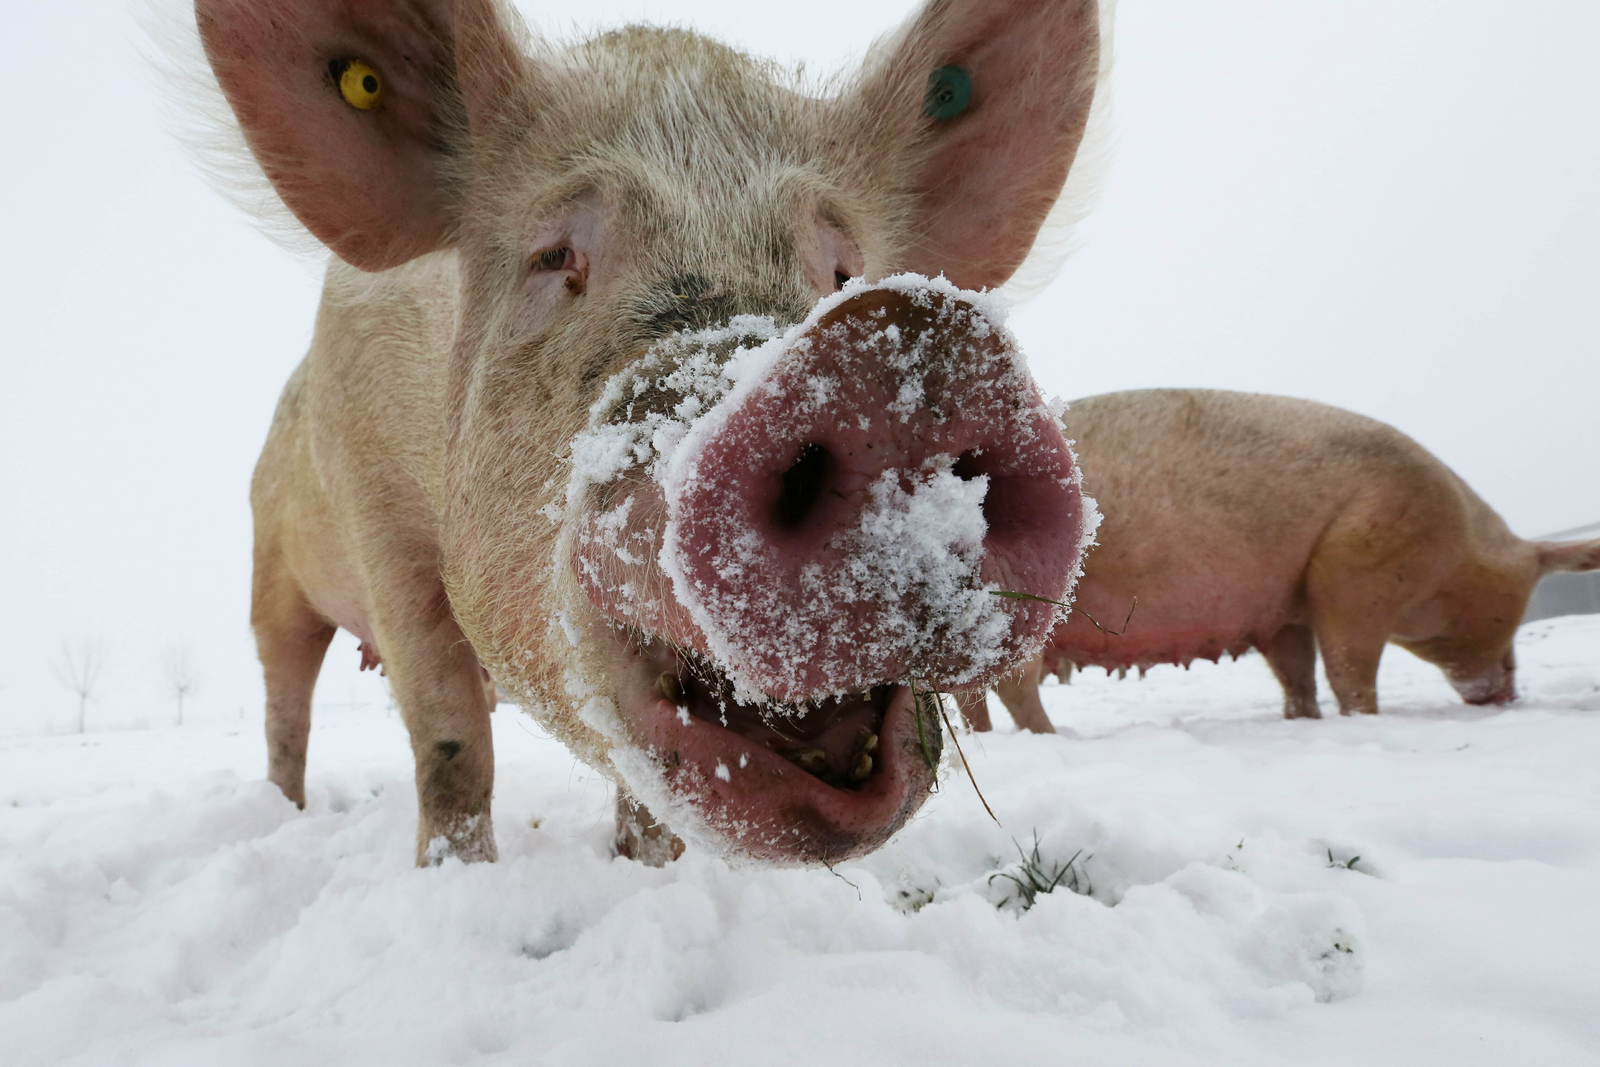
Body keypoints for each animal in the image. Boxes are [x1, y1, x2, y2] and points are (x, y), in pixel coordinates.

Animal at [200, 0, 1107, 870]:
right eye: (554, 255)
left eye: (844, 269)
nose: (890, 364)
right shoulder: (381, 526)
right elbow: (451, 742)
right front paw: (455, 875)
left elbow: (645, 799)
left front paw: (646, 872)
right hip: (267, 565)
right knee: (286, 697)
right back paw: (284, 810)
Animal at [953, 388, 1593, 729]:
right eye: (1522, 595)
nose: (1508, 696)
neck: (1460, 543)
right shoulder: (1355, 570)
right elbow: (1349, 666)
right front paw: (1363, 720)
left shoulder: (1286, 609)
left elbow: (1298, 672)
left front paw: (1302, 722)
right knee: (1014, 688)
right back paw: (1054, 737)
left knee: (973, 695)